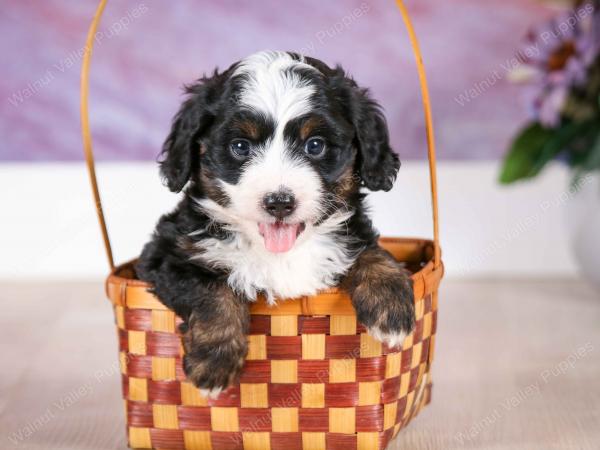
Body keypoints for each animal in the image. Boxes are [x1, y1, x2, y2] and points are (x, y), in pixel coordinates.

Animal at [138, 50, 414, 398]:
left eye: (315, 145)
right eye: (240, 147)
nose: (280, 202)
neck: (278, 252)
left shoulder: (351, 233)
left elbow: (371, 252)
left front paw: (391, 309)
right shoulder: (166, 252)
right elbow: (211, 289)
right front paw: (214, 364)